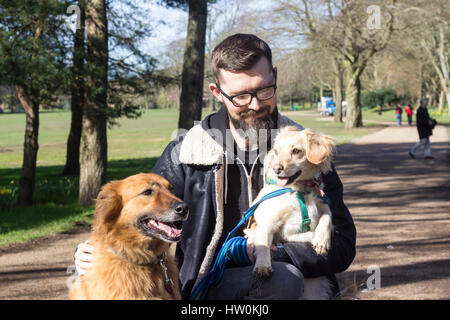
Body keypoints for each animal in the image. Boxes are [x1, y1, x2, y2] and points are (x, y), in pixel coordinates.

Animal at [246, 125, 338, 300]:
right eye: (276, 151)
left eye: (296, 151)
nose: (276, 169)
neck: (299, 190)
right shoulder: (269, 224)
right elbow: (263, 244)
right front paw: (262, 265)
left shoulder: (324, 205)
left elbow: (326, 219)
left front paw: (321, 240)